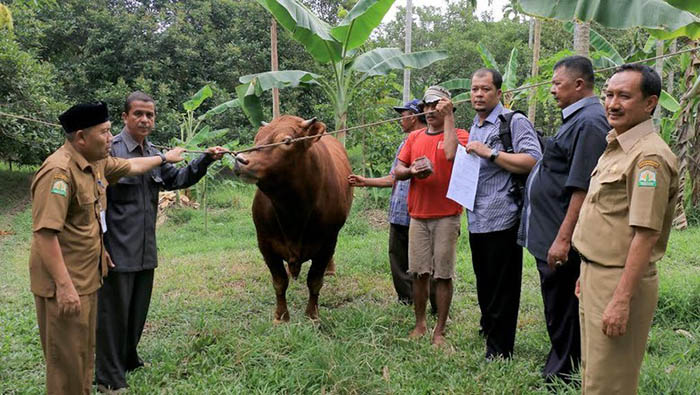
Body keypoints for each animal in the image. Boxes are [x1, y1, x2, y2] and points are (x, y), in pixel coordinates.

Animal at [235, 114, 352, 322]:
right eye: (256, 139)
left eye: (286, 141)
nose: (240, 160)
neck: (293, 210)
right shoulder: (265, 244)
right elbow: (279, 282)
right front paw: (281, 316)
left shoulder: (327, 243)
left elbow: (315, 281)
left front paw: (312, 314)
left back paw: (330, 270)